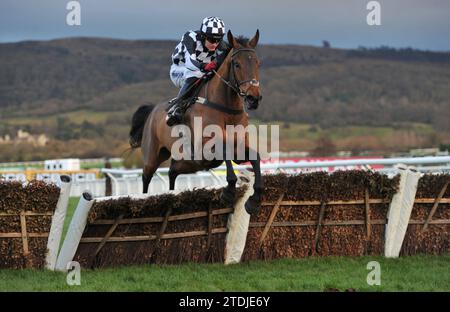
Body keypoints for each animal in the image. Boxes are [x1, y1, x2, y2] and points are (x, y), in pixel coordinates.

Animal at [129, 29, 264, 214]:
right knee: (146, 177)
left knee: (172, 172)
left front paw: (254, 200)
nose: (253, 98)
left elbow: (255, 158)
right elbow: (224, 150)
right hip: (152, 156)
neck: (226, 109)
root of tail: (153, 110)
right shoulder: (204, 148)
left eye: (257, 63)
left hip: (185, 161)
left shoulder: (238, 147)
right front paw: (228, 191)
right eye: (237, 64)